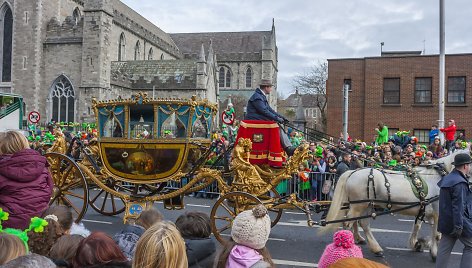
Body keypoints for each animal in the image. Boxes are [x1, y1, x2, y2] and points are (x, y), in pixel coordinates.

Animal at [318, 149, 470, 260]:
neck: (438, 178)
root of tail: (352, 171)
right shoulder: (439, 212)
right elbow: (436, 234)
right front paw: (433, 252)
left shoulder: (424, 209)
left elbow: (418, 226)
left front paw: (417, 243)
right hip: (358, 206)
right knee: (349, 223)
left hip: (365, 205)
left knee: (363, 224)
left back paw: (375, 248)